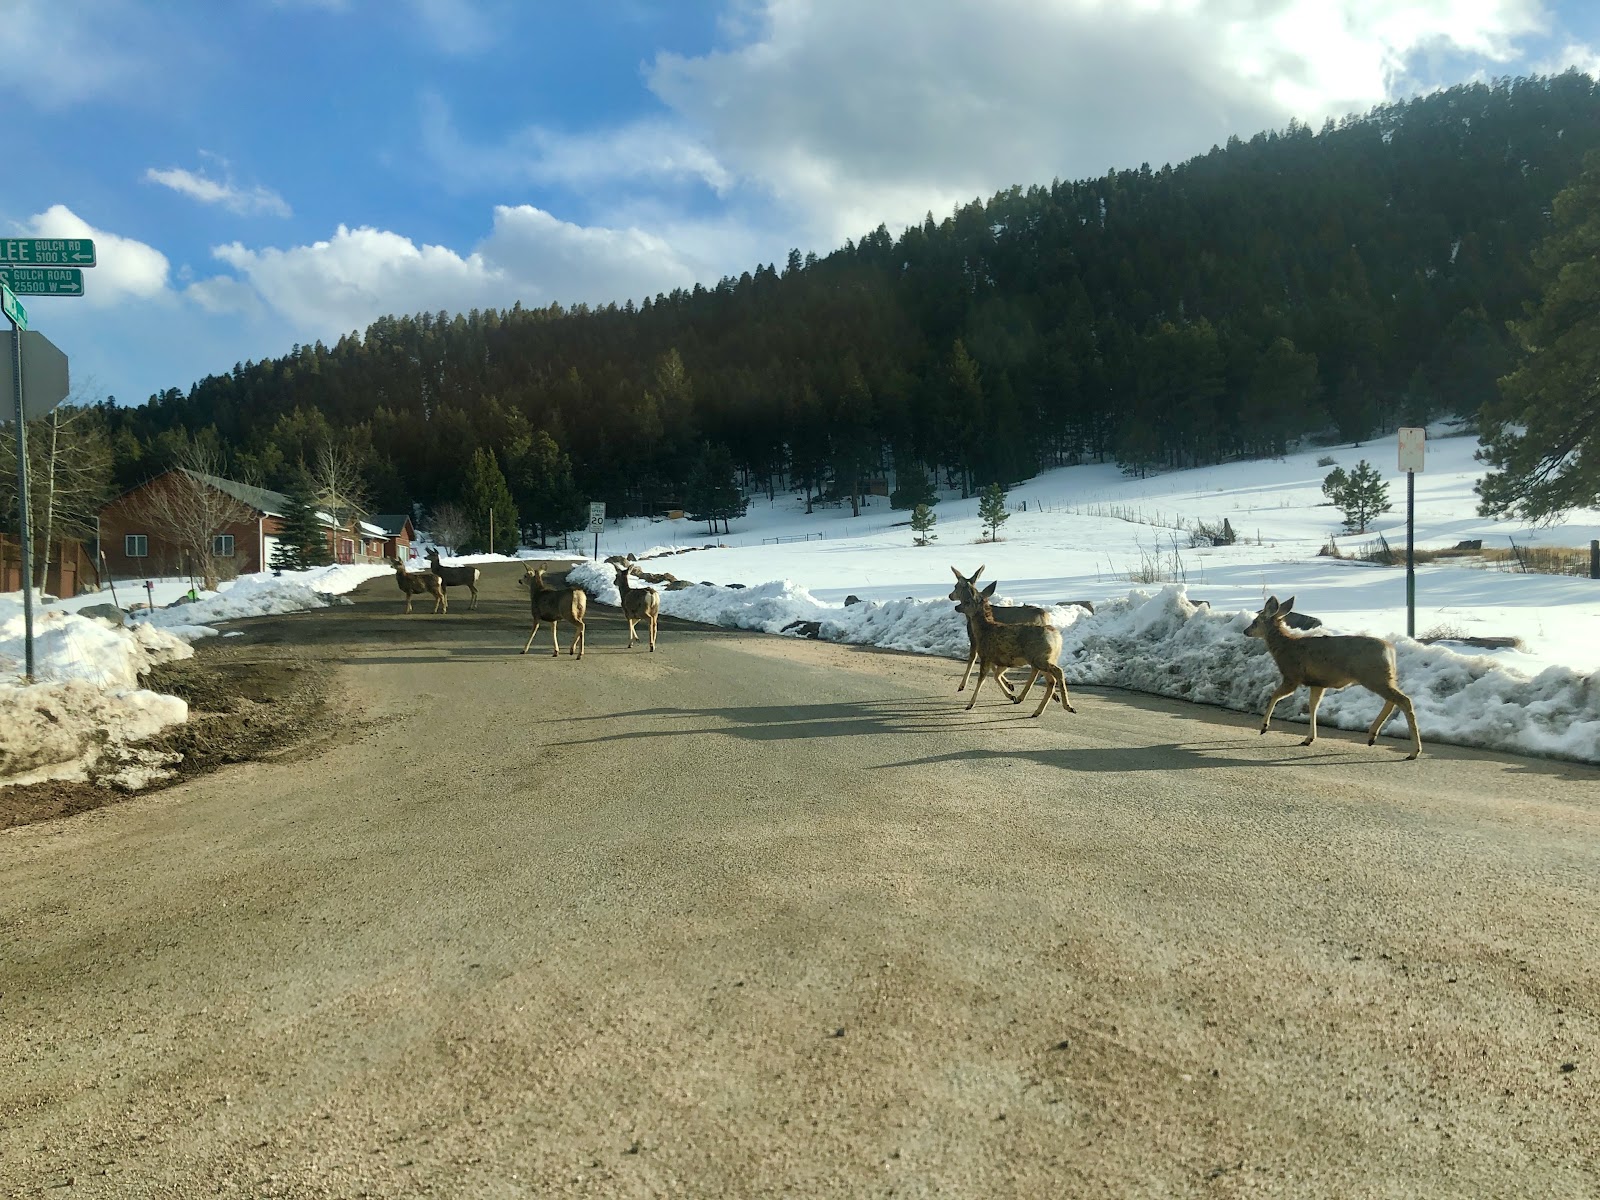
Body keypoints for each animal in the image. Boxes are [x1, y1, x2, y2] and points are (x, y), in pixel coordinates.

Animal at [940, 566, 1056, 700]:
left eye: (956, 586)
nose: (950, 595)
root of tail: (1044, 616)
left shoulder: (975, 639)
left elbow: (972, 660)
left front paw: (962, 685)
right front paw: (1009, 686)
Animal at [947, 585, 1075, 723]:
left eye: (967, 601)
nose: (957, 607)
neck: (984, 630)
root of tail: (1056, 636)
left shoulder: (986, 655)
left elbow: (981, 679)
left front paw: (970, 704)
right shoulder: (1003, 660)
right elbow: (996, 675)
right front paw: (1010, 693)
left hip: (1039, 658)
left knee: (1057, 672)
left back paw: (1067, 706)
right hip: (1042, 658)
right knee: (1051, 680)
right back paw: (1038, 711)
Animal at [1241, 595, 1420, 761]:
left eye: (1256, 621)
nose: (1245, 631)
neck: (1285, 647)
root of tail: (1391, 650)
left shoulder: (1292, 676)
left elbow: (1275, 696)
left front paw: (1264, 727)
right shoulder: (1317, 683)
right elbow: (1313, 706)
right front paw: (1308, 739)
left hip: (1373, 675)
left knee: (1403, 700)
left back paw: (1413, 752)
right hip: (1383, 677)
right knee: (1393, 700)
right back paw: (1372, 737)